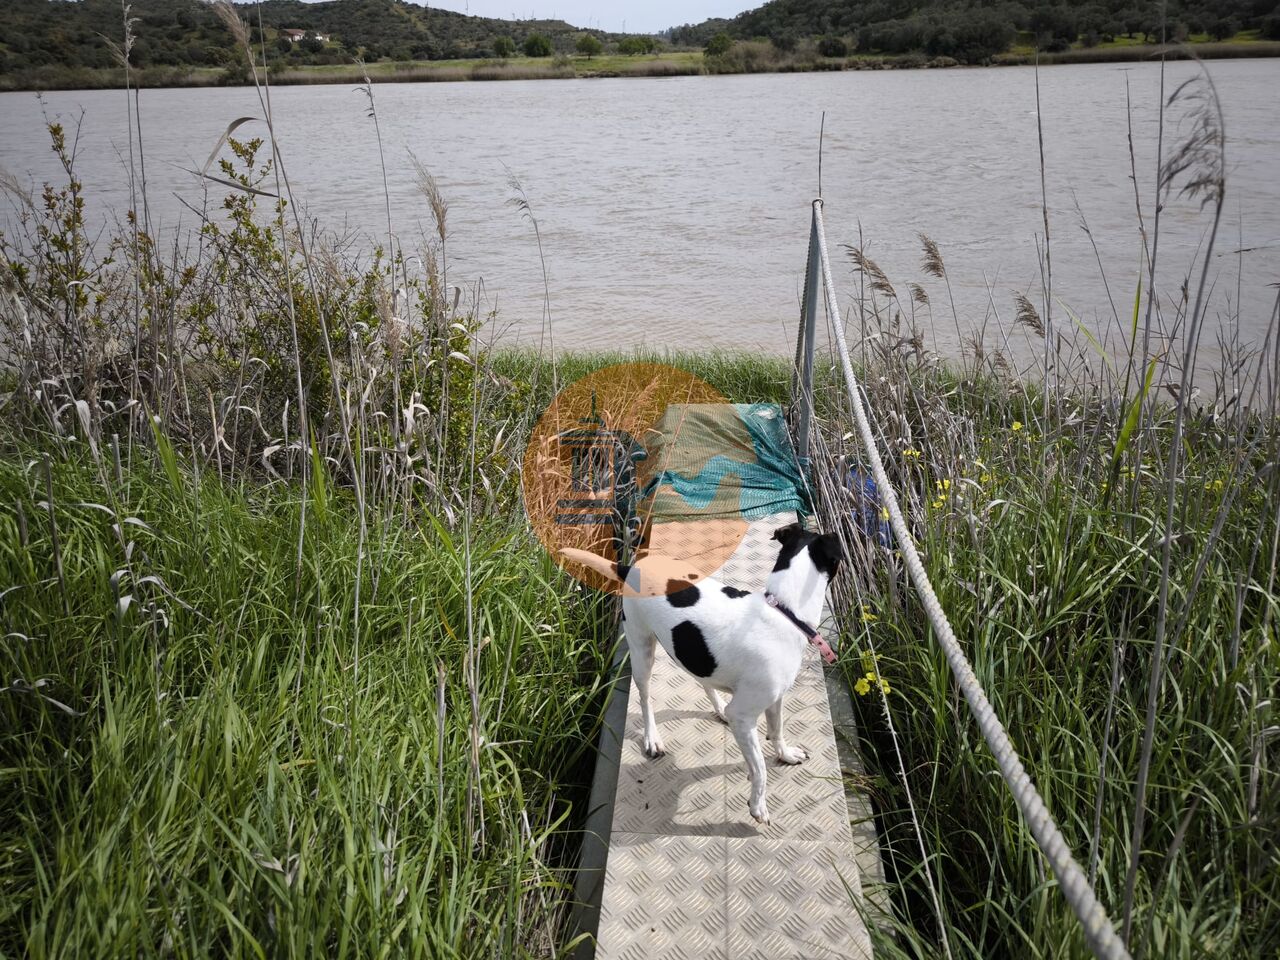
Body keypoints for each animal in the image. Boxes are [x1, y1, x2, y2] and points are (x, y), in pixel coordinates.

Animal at [560, 527, 839, 829]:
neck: (784, 611)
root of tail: (631, 567)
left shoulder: (774, 700)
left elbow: (777, 732)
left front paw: (785, 755)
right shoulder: (744, 716)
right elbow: (760, 768)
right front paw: (757, 804)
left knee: (704, 681)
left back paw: (719, 710)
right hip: (641, 648)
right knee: (645, 697)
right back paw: (652, 737)